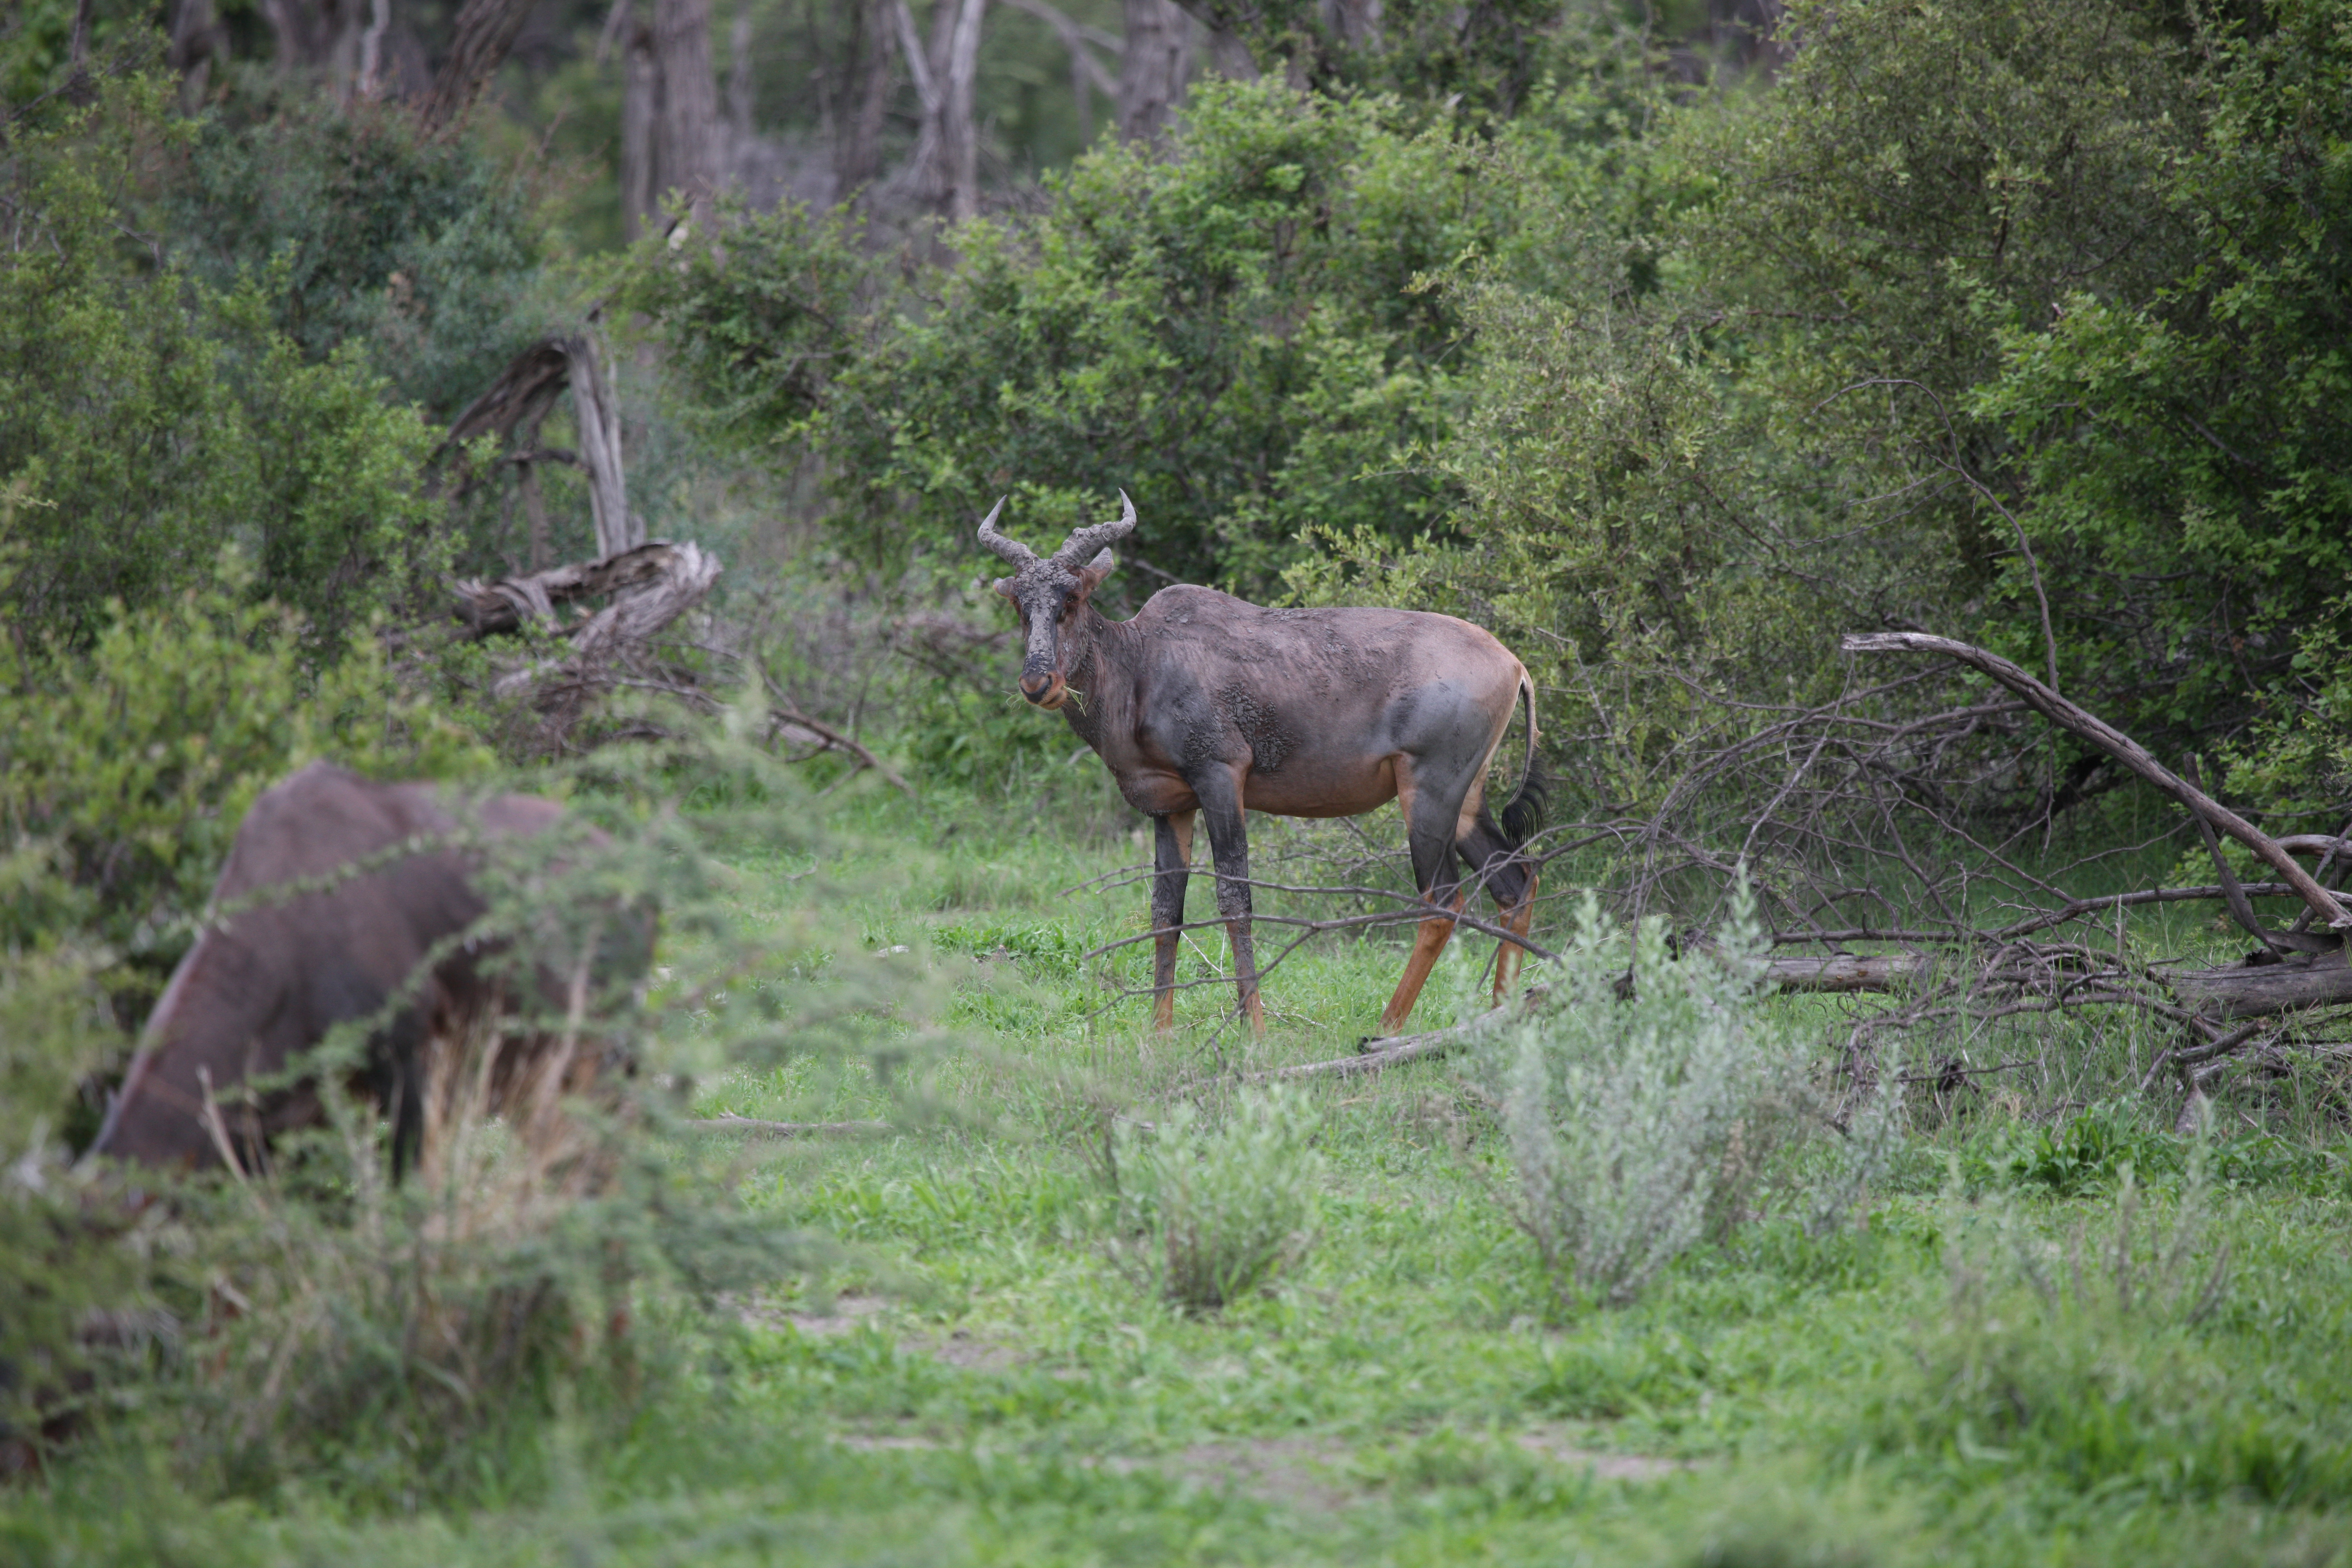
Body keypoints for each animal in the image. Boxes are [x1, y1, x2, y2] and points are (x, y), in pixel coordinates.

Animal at [978, 496, 1543, 1034]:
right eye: (1019, 603)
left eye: (1073, 598)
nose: (1038, 684)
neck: (1146, 660)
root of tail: (1514, 664)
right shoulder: (1170, 806)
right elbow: (1165, 911)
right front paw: (1159, 1036)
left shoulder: (1221, 779)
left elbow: (1235, 901)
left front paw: (1254, 1032)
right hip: (1466, 802)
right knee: (1514, 884)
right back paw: (1501, 1014)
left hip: (1428, 793)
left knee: (1443, 901)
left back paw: (1385, 1029)